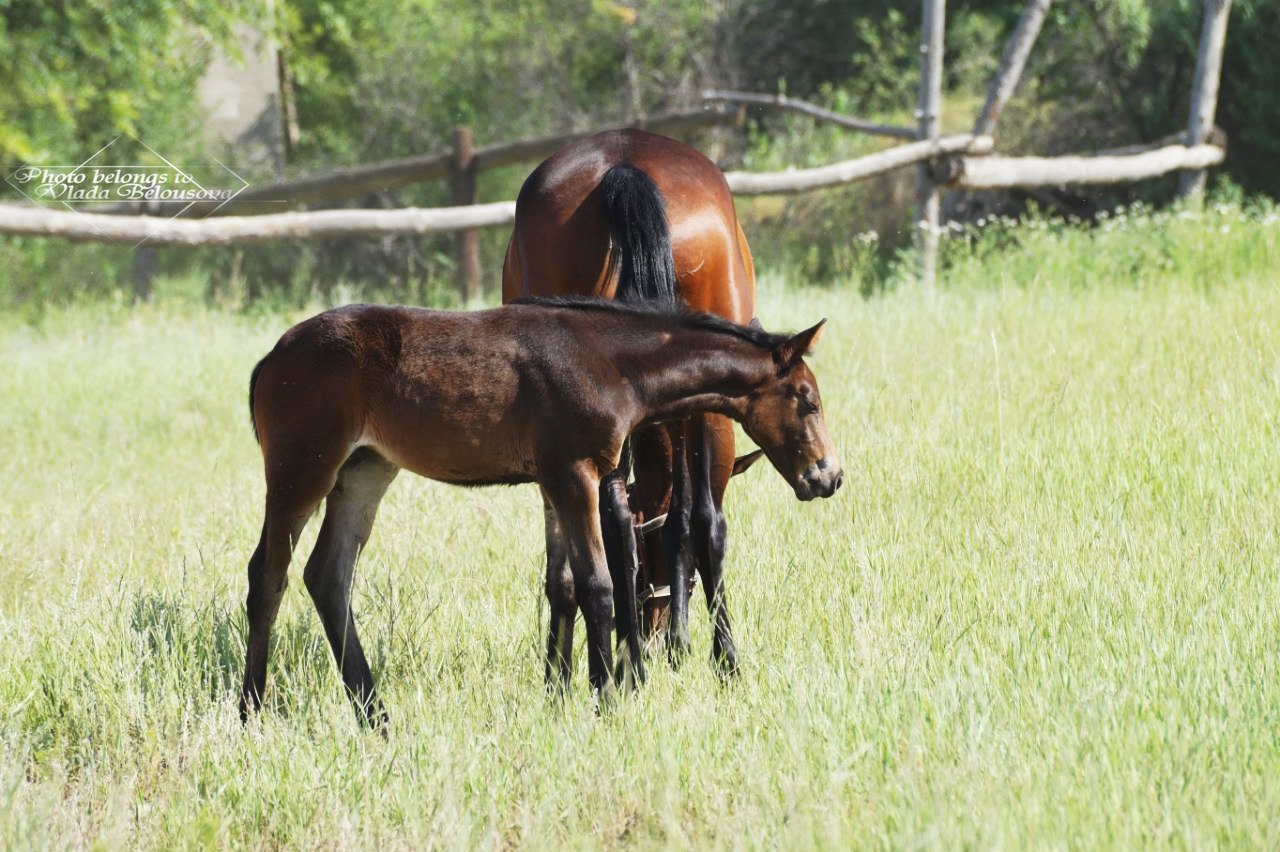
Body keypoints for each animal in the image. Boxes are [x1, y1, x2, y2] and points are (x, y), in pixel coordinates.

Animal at [239, 295, 839, 721]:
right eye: (808, 401)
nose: (828, 476)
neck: (610, 362)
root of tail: (270, 358)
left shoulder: (554, 482)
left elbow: (566, 582)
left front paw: (563, 695)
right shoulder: (574, 473)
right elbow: (599, 584)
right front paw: (606, 701)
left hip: (364, 471)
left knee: (328, 574)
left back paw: (376, 716)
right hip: (301, 468)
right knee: (268, 573)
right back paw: (252, 710)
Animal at [499, 129, 757, 680]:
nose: (652, 619)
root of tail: (624, 166)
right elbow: (688, 517)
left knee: (620, 513)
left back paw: (630, 665)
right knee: (703, 515)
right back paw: (711, 659)